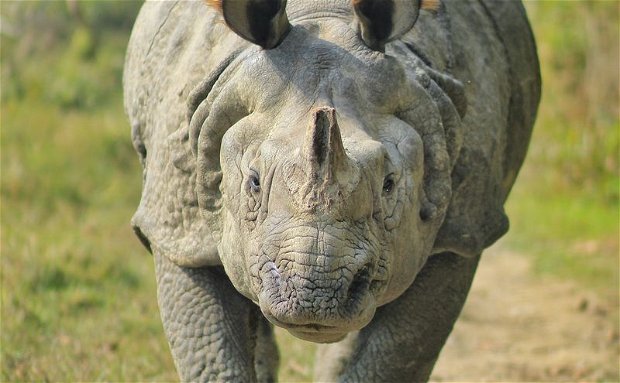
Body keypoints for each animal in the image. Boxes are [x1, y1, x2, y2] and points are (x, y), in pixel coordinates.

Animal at [124, 0, 536, 380]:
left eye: (389, 184)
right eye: (253, 181)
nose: (316, 295)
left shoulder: (463, 229)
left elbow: (393, 358)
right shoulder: (179, 227)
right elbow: (213, 357)